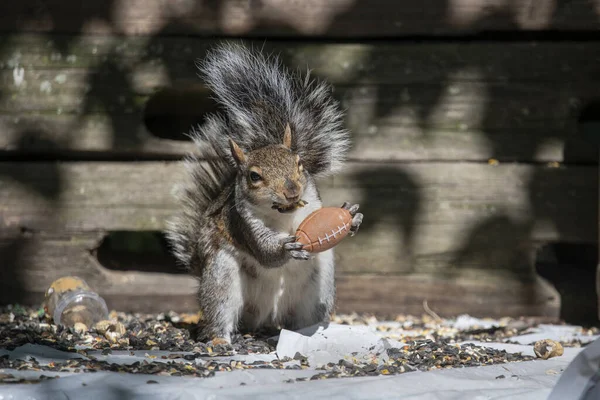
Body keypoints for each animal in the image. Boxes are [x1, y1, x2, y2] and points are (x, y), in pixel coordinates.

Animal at [164, 43, 364, 344]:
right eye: (254, 177)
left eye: (299, 163)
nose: (292, 190)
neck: (285, 213)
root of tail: (266, 317)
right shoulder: (244, 224)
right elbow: (265, 252)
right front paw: (285, 247)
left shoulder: (313, 205)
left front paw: (351, 216)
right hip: (222, 279)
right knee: (218, 314)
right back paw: (220, 339)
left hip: (320, 285)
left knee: (306, 317)